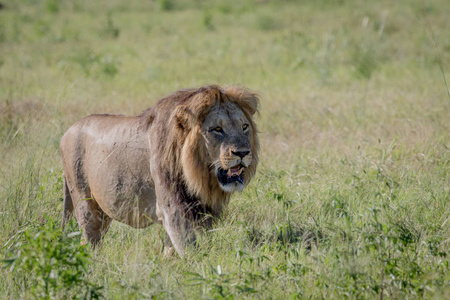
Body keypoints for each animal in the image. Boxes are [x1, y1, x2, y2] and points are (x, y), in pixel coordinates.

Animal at [59, 85, 258, 258]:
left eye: (244, 127)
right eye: (217, 129)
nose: (243, 153)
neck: (199, 175)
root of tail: (68, 130)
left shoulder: (202, 210)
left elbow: (176, 248)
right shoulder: (172, 208)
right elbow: (190, 249)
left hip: (104, 210)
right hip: (84, 202)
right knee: (88, 240)